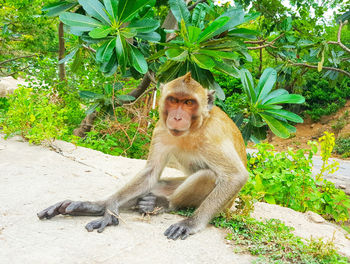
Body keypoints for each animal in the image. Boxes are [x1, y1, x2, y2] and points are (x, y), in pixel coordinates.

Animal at [37, 71, 249, 239]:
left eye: (189, 102)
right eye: (174, 100)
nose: (177, 117)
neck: (193, 128)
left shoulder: (213, 135)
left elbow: (236, 176)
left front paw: (191, 223)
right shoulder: (161, 129)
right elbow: (150, 173)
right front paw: (108, 207)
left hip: (225, 205)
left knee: (208, 175)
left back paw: (164, 203)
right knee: (154, 185)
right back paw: (98, 206)